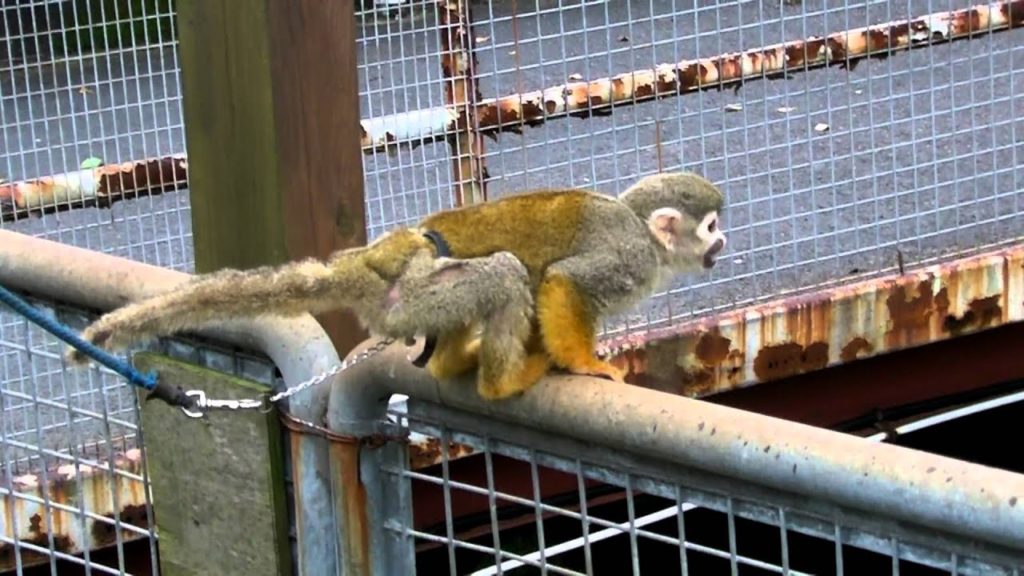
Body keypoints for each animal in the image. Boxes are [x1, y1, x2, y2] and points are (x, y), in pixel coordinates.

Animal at [67, 171, 727, 401]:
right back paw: (502, 381)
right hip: (417, 293)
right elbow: (563, 282)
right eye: (712, 227)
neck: (648, 240)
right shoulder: (627, 258)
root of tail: (374, 260)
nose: (723, 246)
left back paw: (455, 363)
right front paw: (588, 364)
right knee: (505, 272)